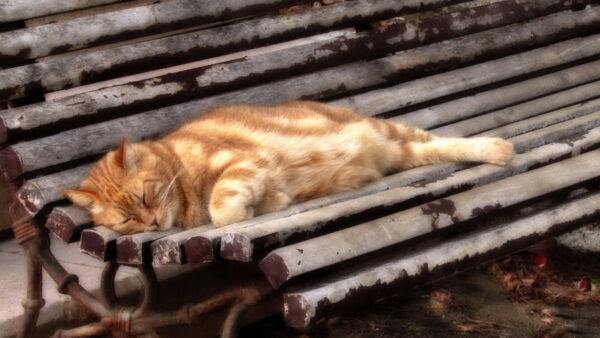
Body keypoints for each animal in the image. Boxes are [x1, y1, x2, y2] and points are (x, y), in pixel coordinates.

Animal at [65, 100, 516, 234]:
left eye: (146, 195)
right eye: (127, 221)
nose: (155, 222)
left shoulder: (243, 161)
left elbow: (222, 208)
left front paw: (252, 206)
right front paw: (270, 202)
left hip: (391, 131)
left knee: (442, 139)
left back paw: (497, 149)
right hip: (403, 152)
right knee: (432, 149)